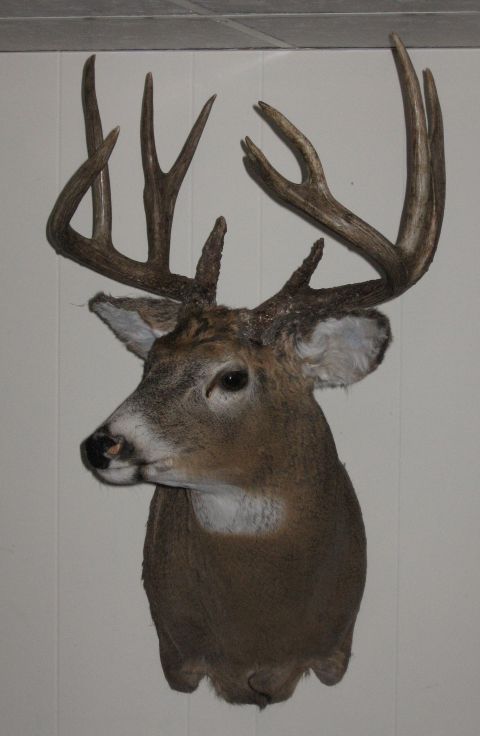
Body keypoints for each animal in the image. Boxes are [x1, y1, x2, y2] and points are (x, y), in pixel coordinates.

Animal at [46, 34, 444, 707]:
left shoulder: (332, 649)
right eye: (150, 362)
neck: (258, 638)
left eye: (232, 377)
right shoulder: (179, 657)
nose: (102, 445)